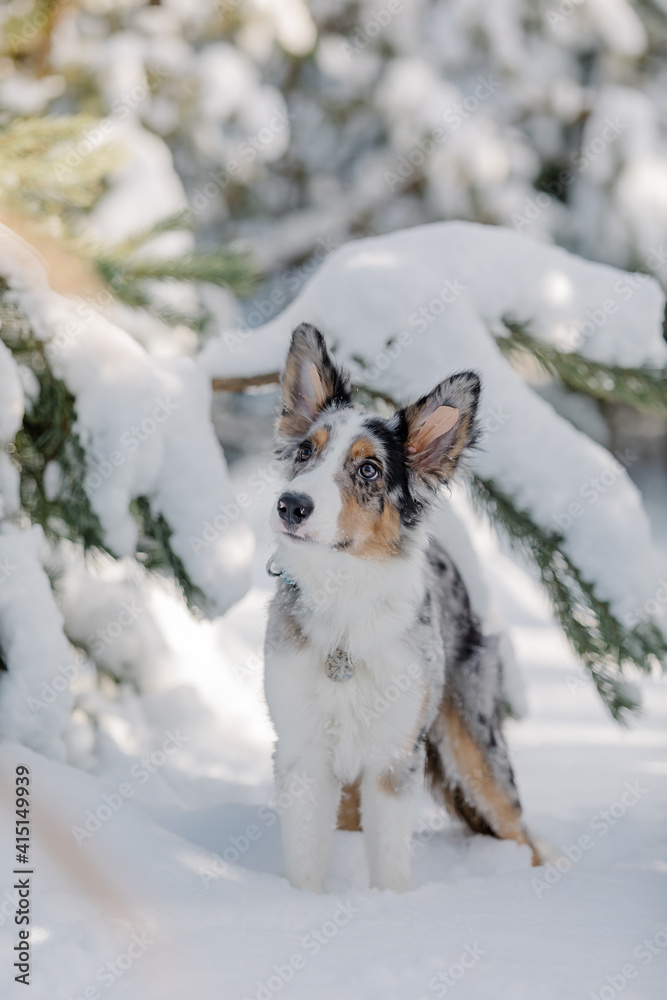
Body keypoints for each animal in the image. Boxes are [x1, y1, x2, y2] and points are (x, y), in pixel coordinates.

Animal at [264, 320, 540, 892]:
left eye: (369, 469)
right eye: (304, 452)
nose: (291, 505)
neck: (344, 608)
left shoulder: (395, 757)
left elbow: (390, 860)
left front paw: (389, 906)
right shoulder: (303, 751)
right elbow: (305, 859)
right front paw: (300, 902)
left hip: (477, 747)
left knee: (524, 832)